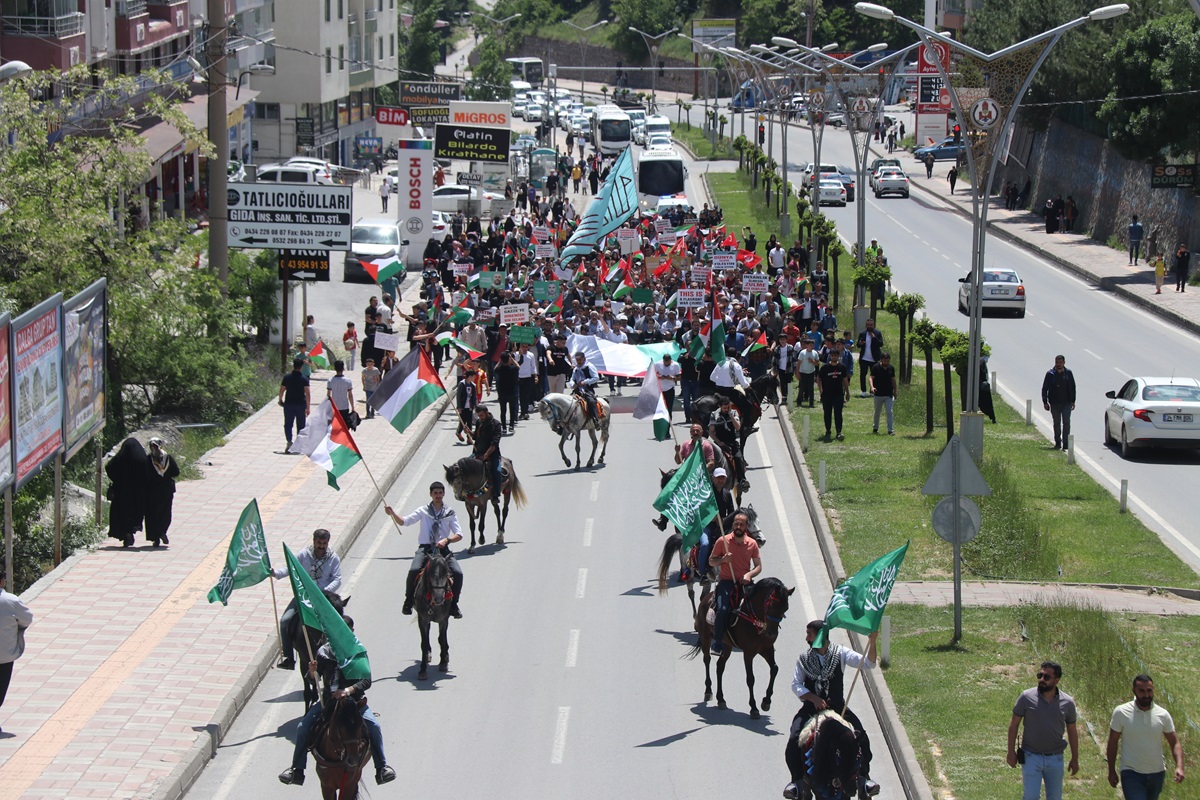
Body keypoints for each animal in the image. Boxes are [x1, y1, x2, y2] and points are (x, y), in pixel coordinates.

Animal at [691, 575, 792, 719]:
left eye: (786, 608)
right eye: (772, 605)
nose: (771, 633)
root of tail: (706, 598)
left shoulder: (767, 648)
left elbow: (774, 669)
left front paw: (766, 701)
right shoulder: (748, 653)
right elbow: (750, 678)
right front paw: (754, 707)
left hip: (727, 645)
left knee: (720, 666)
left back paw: (721, 699)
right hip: (705, 637)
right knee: (707, 660)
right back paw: (708, 691)